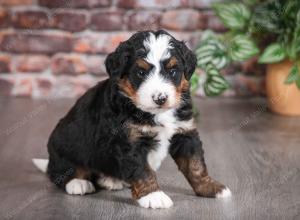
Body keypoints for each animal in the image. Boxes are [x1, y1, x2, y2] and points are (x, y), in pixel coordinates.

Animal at [32, 30, 231, 209]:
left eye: (173, 71)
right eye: (141, 73)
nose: (160, 98)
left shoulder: (185, 133)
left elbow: (195, 164)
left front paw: (211, 187)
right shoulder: (128, 140)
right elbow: (142, 170)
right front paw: (154, 196)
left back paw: (111, 180)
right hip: (63, 145)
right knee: (62, 172)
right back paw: (78, 183)